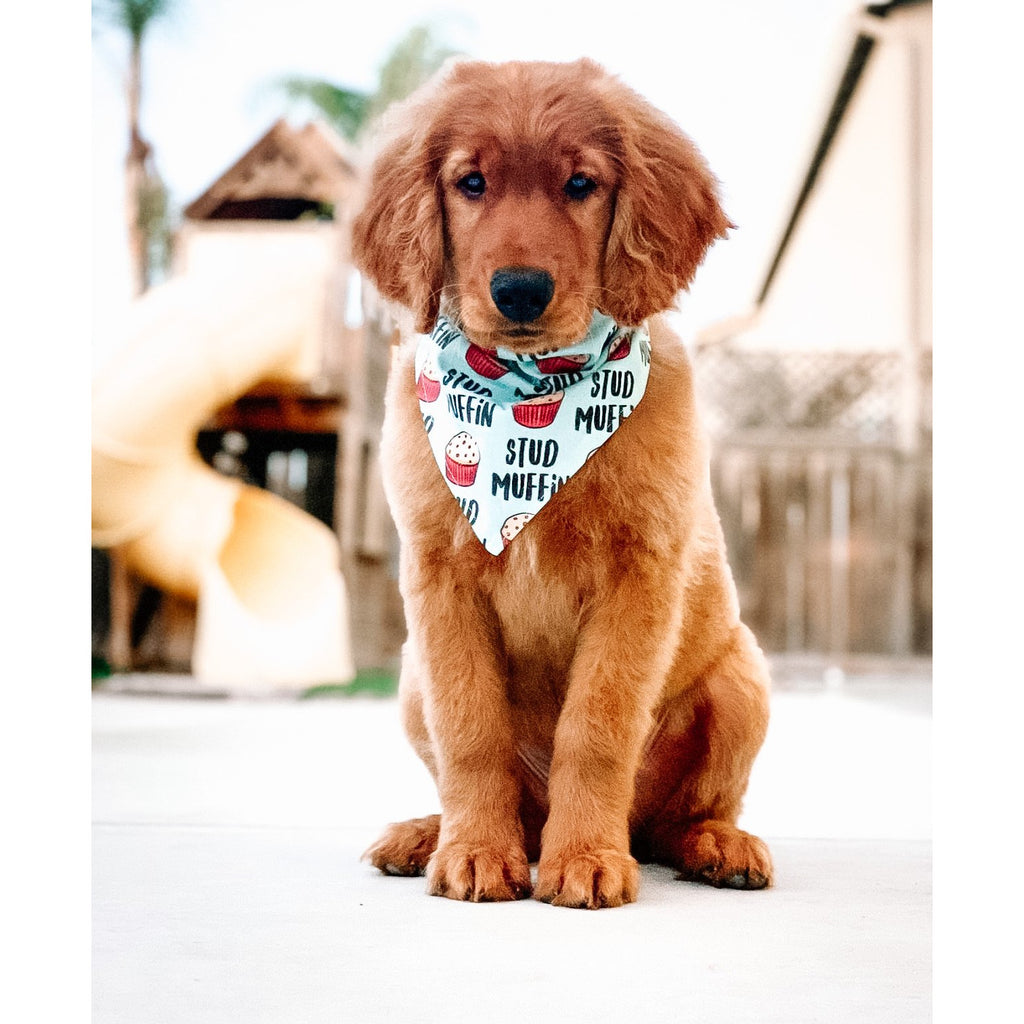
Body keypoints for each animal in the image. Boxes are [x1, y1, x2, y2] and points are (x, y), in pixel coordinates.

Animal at [350, 58, 770, 905]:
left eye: (581, 184)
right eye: (471, 183)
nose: (520, 290)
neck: (529, 400)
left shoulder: (640, 574)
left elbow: (597, 727)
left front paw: (587, 859)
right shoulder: (439, 580)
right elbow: (470, 729)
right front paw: (476, 852)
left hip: (744, 680)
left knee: (678, 819)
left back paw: (715, 844)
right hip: (410, 679)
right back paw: (431, 834)